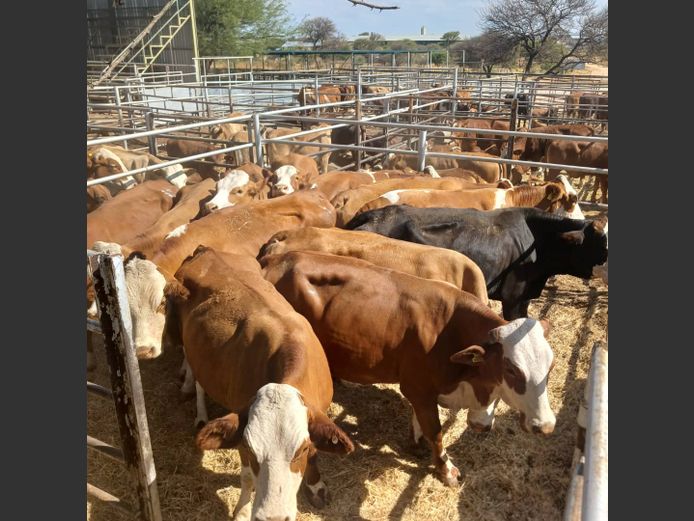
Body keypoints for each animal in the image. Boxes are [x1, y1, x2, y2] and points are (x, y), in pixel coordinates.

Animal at [164, 246, 354, 519]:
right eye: (251, 449)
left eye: (301, 450)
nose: (274, 517)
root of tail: (206, 250)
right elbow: (247, 479)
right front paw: (242, 511)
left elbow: (317, 452)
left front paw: (316, 486)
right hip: (184, 335)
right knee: (196, 373)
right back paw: (197, 407)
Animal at [260, 250, 557, 486]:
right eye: (511, 370)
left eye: (551, 367)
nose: (546, 425)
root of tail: (277, 259)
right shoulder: (418, 387)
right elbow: (436, 433)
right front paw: (446, 470)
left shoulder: (421, 390)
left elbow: (419, 421)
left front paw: (415, 445)